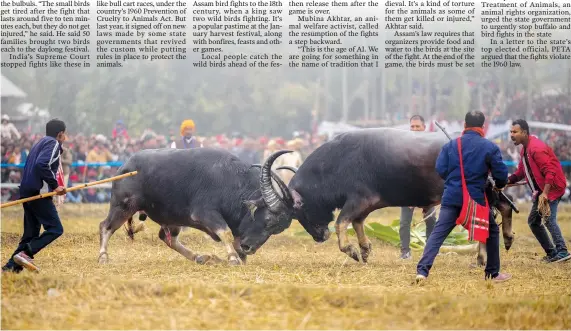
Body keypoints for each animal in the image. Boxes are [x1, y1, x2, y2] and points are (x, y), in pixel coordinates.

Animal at [98, 149, 292, 266]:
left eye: (277, 229)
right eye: (268, 220)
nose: (249, 248)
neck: (231, 183)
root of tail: (124, 167)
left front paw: (238, 257)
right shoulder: (204, 214)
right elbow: (225, 232)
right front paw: (233, 258)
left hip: (173, 219)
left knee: (167, 238)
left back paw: (199, 257)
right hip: (123, 205)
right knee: (105, 226)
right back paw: (103, 257)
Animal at [239, 127, 516, 264]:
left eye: (280, 219)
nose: (319, 237)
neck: (335, 163)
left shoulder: (360, 199)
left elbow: (342, 221)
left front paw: (351, 251)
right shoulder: (365, 205)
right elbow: (357, 223)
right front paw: (364, 250)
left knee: (488, 219)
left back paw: (483, 256)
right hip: (489, 191)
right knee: (502, 208)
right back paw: (505, 241)